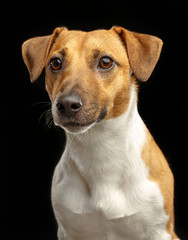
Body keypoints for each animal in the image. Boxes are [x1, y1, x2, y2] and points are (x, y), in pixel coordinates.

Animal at [21, 25, 179, 240]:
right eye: (55, 63)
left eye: (106, 62)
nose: (67, 104)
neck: (100, 148)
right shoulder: (69, 231)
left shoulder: (159, 231)